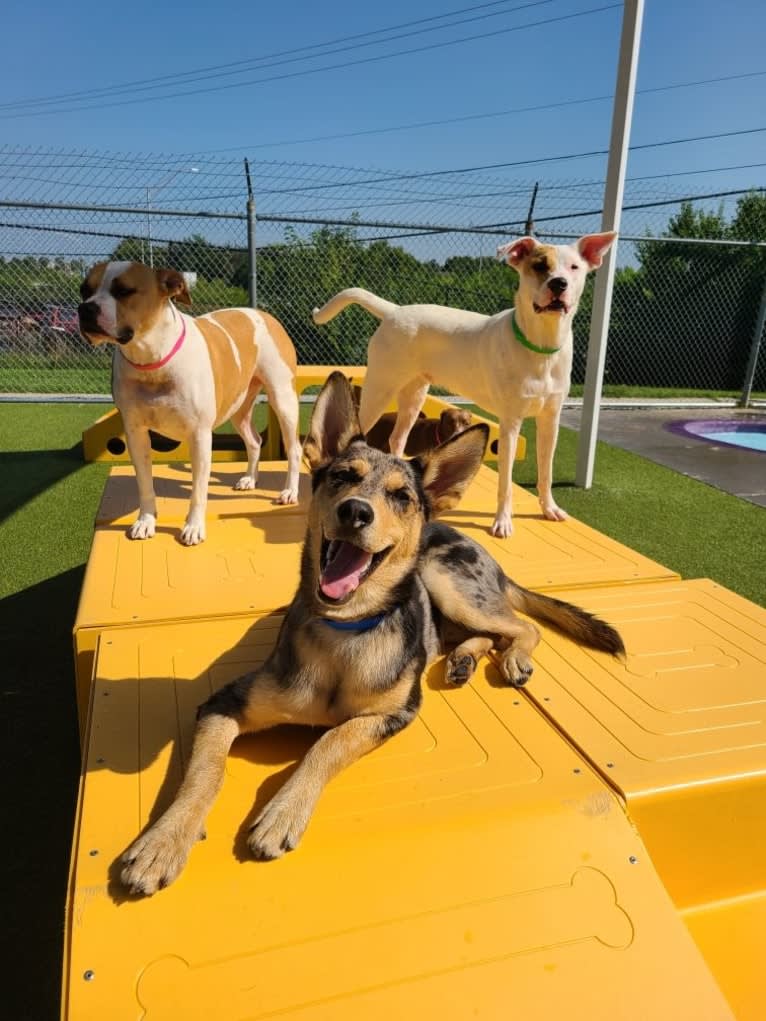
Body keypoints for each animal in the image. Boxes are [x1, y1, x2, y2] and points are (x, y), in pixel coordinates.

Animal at [79, 263, 302, 547]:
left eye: (124, 291)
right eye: (84, 290)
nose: (85, 309)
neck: (152, 361)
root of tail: (264, 314)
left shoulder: (199, 436)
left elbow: (198, 490)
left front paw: (193, 527)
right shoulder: (136, 434)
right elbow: (145, 484)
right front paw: (145, 521)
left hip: (283, 400)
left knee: (294, 448)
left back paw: (289, 491)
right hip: (238, 408)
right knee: (254, 441)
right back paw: (250, 478)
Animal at [120, 373, 625, 894]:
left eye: (402, 496)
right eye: (343, 476)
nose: (355, 512)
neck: (345, 633)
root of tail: (476, 546)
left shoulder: (395, 713)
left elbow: (329, 741)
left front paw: (283, 811)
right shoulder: (222, 703)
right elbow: (204, 773)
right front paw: (164, 841)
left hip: (447, 581)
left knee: (521, 626)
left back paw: (513, 657)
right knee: (477, 635)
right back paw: (463, 659)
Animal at [312, 230, 616, 535]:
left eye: (574, 267)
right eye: (539, 265)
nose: (559, 283)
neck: (540, 348)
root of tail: (394, 311)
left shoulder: (550, 420)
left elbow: (547, 471)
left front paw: (549, 508)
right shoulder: (510, 424)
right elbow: (505, 482)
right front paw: (502, 522)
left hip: (414, 394)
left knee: (397, 437)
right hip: (380, 389)